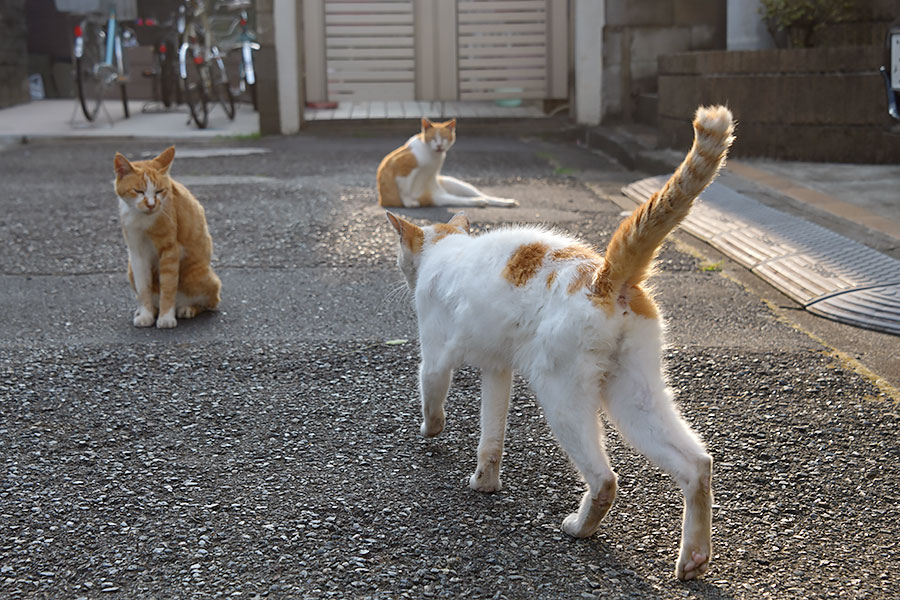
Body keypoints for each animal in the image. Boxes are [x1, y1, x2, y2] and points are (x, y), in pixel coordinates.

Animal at [113, 148, 221, 330]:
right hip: (130, 270)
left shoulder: (170, 250)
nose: (151, 204)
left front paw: (166, 317)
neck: (143, 220)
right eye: (138, 191)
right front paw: (146, 315)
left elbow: (168, 286)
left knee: (211, 302)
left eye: (159, 191)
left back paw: (187, 308)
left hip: (200, 276)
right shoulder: (136, 253)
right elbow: (143, 288)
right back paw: (148, 310)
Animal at [378, 118, 520, 210]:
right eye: (433, 138)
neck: (433, 156)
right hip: (439, 197)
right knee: (464, 200)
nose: (439, 145)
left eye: (444, 138)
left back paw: (506, 202)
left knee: (482, 195)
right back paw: (480, 202)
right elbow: (404, 189)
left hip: (456, 184)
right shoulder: (402, 169)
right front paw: (408, 201)